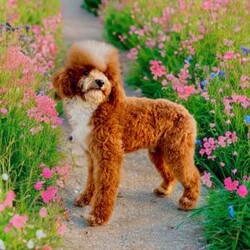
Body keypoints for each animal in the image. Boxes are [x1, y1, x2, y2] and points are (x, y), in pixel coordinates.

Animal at [52, 40, 201, 227]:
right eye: (85, 71)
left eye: (106, 74)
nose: (100, 82)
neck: (95, 107)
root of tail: (187, 112)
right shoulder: (93, 156)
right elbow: (92, 180)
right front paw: (85, 199)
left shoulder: (109, 156)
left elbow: (105, 186)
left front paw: (98, 216)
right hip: (159, 152)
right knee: (170, 173)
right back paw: (164, 189)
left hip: (178, 151)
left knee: (193, 175)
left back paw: (188, 200)